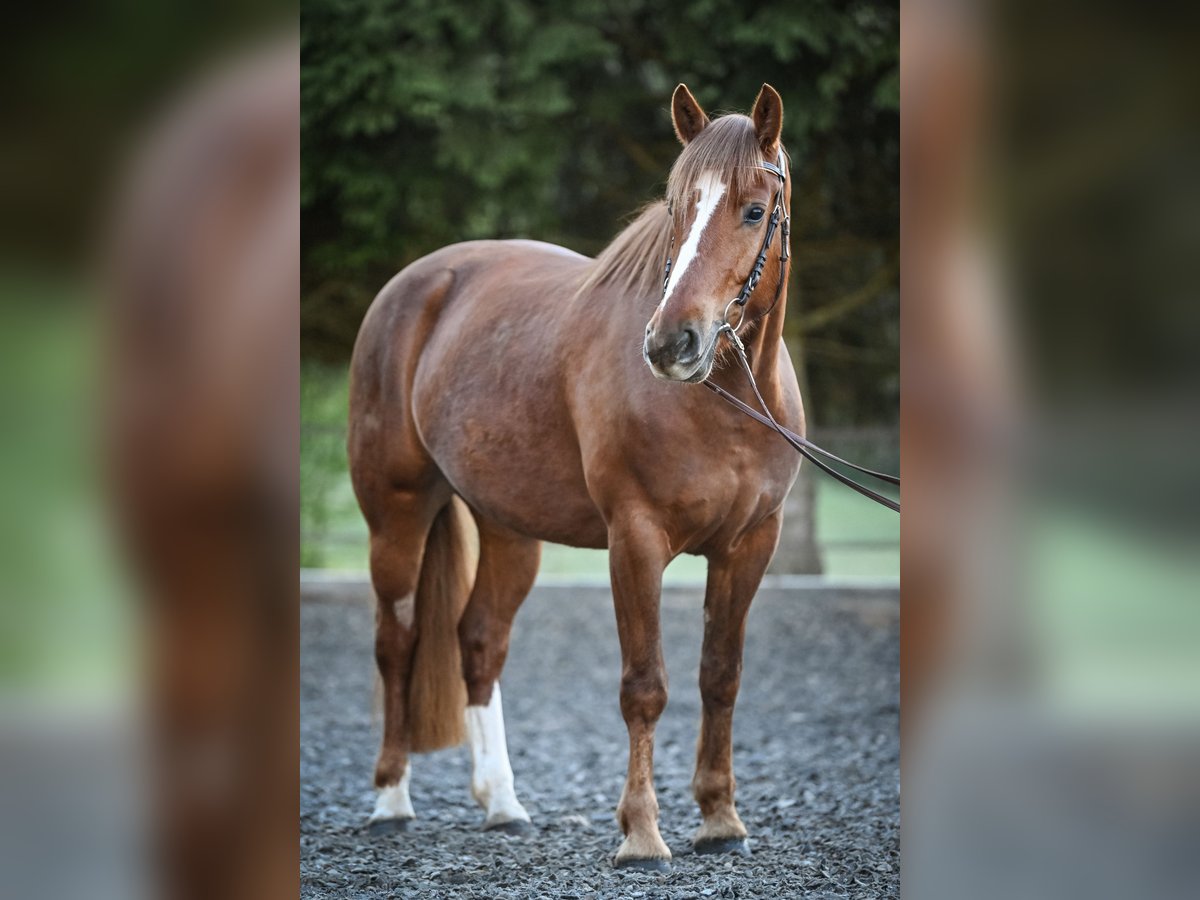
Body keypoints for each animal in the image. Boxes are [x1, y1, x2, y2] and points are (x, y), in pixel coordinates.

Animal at [348, 84, 796, 873]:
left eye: (753, 210)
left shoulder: (751, 546)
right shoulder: (635, 541)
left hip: (508, 529)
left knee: (478, 643)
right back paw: (391, 802)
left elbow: (721, 676)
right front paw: (641, 834)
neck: (728, 404)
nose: (672, 342)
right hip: (395, 517)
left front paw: (720, 819)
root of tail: (417, 283)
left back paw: (503, 805)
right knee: (396, 643)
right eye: (677, 208)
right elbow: (645, 687)